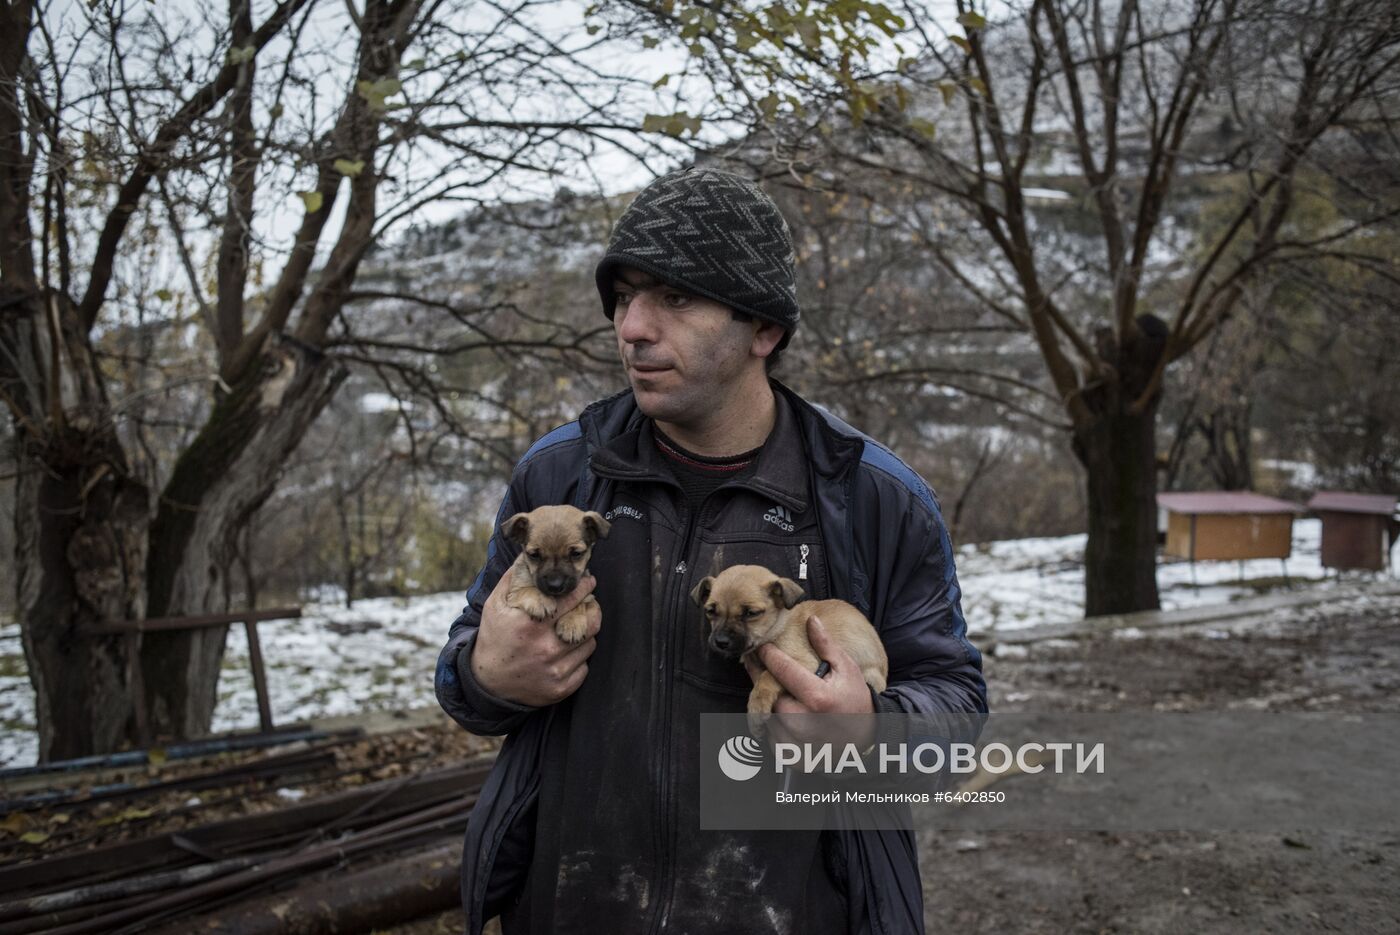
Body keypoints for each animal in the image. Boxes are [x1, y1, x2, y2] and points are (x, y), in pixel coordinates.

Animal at [506, 503, 610, 643]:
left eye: (576, 553)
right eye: (534, 555)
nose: (555, 586)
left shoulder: (589, 597)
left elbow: (579, 603)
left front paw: (571, 622)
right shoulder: (512, 595)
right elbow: (527, 590)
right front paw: (541, 600)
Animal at [688, 562, 884, 739]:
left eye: (751, 613)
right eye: (710, 611)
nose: (721, 641)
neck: (778, 627)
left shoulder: (805, 663)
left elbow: (768, 675)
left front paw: (756, 707)